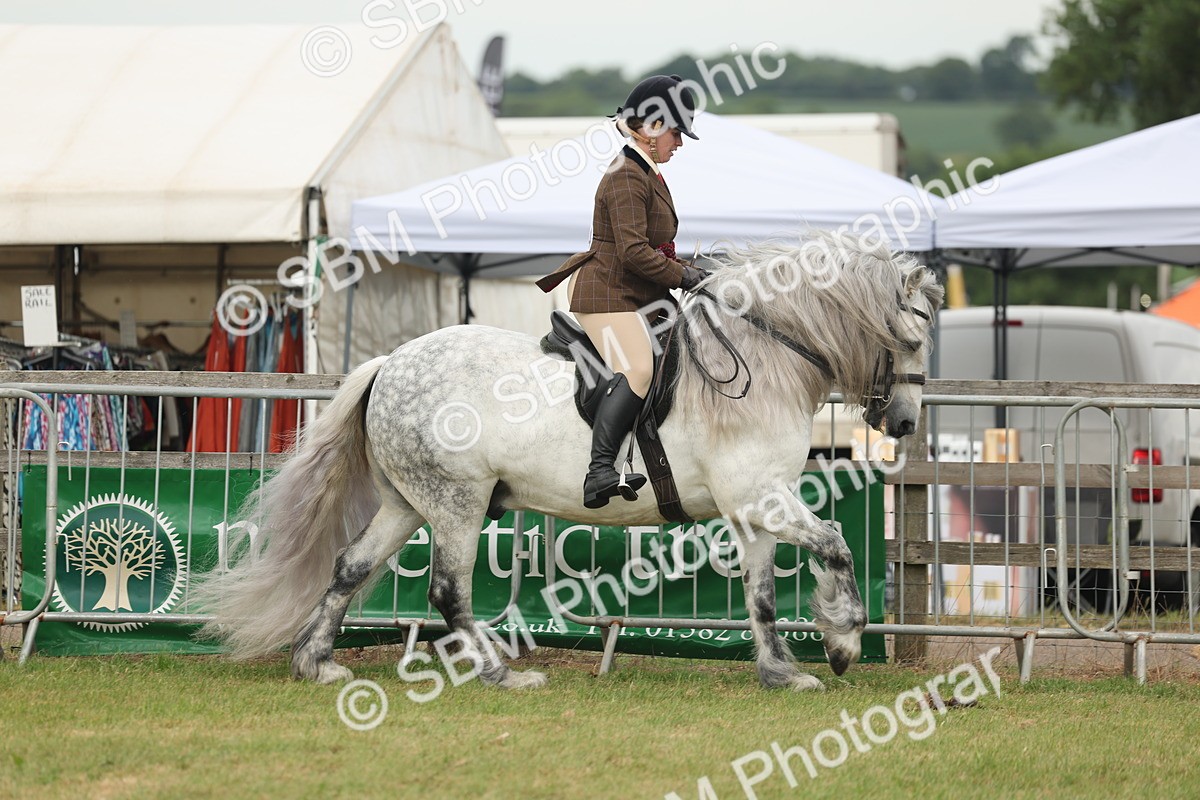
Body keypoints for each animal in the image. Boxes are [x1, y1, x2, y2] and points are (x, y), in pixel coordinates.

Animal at [194, 231, 943, 692]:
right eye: (915, 335)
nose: (905, 423)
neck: (765, 358)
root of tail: (389, 363)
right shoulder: (763, 498)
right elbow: (837, 543)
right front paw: (843, 642)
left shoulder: (755, 507)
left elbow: (760, 595)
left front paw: (783, 672)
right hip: (459, 504)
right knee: (449, 592)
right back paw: (502, 675)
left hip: (410, 503)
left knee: (351, 565)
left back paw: (315, 663)